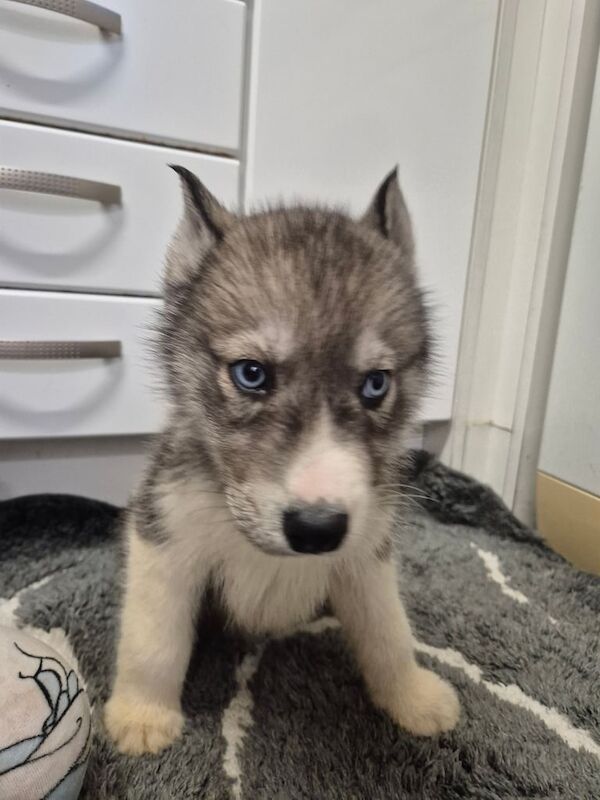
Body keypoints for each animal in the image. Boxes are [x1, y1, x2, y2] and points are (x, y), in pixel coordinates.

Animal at [104, 166, 460, 752]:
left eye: (375, 384)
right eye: (251, 374)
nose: (318, 529)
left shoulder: (367, 553)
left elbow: (388, 629)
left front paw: (410, 695)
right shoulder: (165, 532)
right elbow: (153, 639)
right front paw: (143, 713)